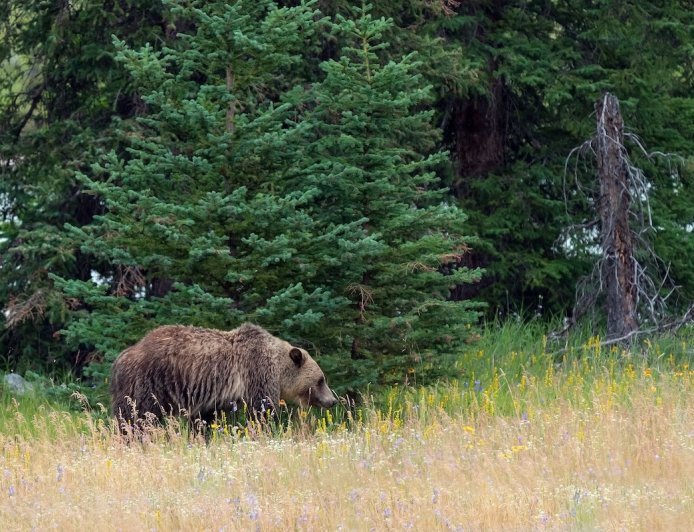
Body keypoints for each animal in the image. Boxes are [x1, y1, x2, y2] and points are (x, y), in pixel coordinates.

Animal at [110, 323, 337, 426]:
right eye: (321, 380)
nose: (333, 400)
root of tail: (122, 356)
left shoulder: (209, 397)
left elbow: (204, 419)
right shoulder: (256, 374)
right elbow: (261, 409)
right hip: (149, 385)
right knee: (135, 417)